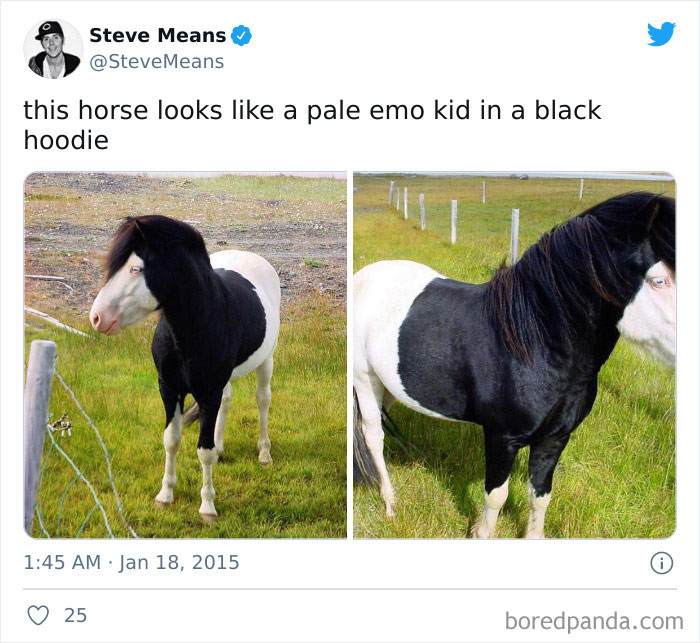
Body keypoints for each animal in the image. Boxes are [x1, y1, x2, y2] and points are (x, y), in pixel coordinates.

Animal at [89, 215, 280, 523]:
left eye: (136, 268)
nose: (97, 317)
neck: (192, 330)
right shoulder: (169, 389)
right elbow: (172, 440)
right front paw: (165, 495)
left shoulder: (209, 391)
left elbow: (204, 451)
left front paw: (207, 507)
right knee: (228, 401)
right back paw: (223, 446)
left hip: (266, 362)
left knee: (263, 400)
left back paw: (264, 454)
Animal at [353, 192, 675, 538]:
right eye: (659, 281)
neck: (533, 342)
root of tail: (361, 277)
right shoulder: (501, 437)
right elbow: (496, 495)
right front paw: (481, 532)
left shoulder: (554, 439)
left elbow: (540, 496)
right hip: (364, 380)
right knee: (373, 435)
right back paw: (390, 504)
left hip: (388, 385)